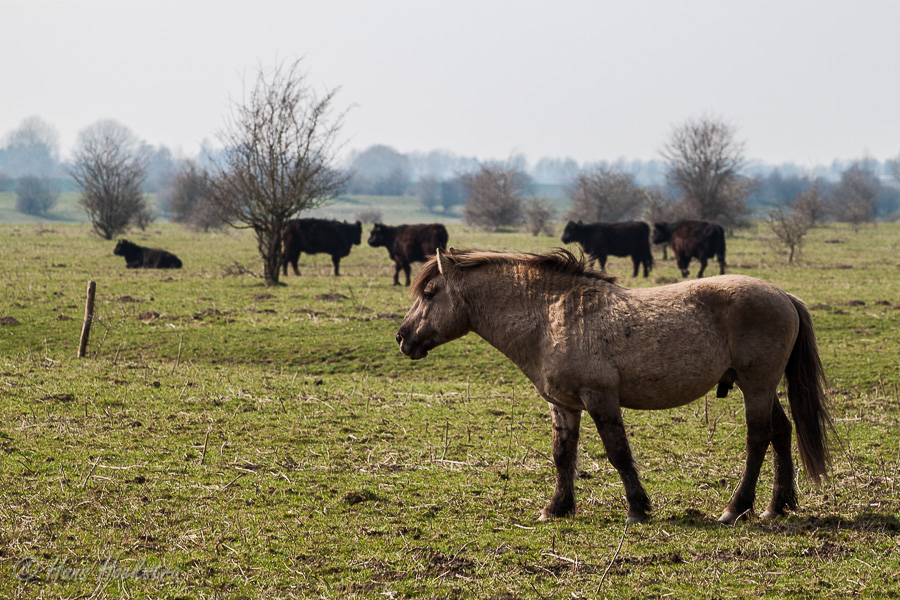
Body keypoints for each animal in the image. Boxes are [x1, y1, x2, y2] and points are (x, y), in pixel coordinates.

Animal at [396, 248, 832, 524]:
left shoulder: (599, 397)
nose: (403, 337)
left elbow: (618, 453)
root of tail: (783, 295)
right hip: (760, 387)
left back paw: (735, 508)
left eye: (430, 294)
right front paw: (556, 508)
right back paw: (777, 506)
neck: (550, 316)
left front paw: (637, 508)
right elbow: (563, 455)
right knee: (781, 432)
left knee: (758, 439)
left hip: (756, 387)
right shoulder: (564, 405)